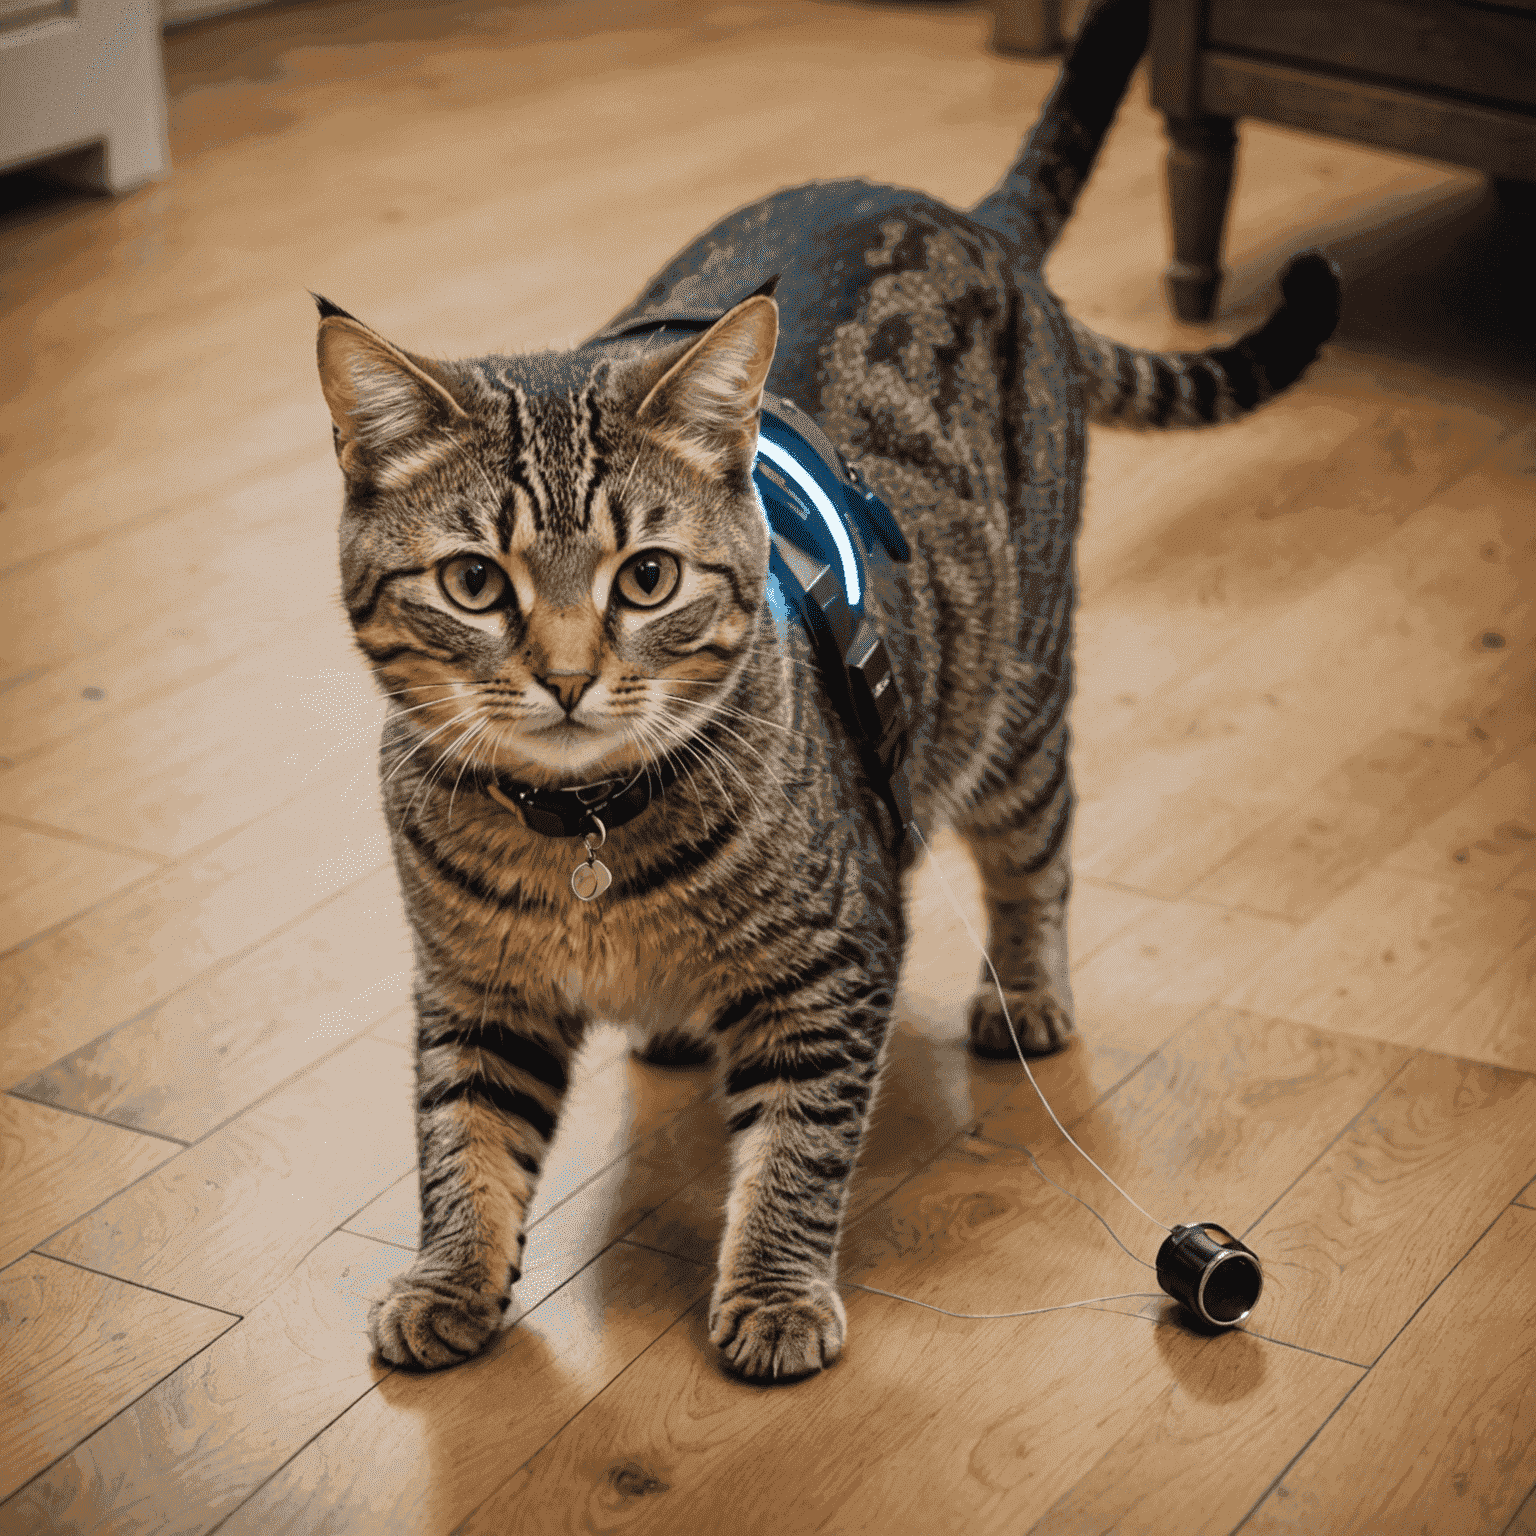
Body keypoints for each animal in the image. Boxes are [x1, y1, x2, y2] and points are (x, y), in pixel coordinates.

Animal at [317, 0, 1339, 1388]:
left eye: (647, 576)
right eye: (476, 581)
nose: (570, 677)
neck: (582, 839)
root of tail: (965, 214)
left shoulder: (835, 959)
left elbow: (797, 1150)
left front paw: (773, 1292)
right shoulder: (476, 992)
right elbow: (458, 1141)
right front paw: (449, 1280)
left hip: (1017, 694)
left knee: (1038, 852)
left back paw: (1028, 993)